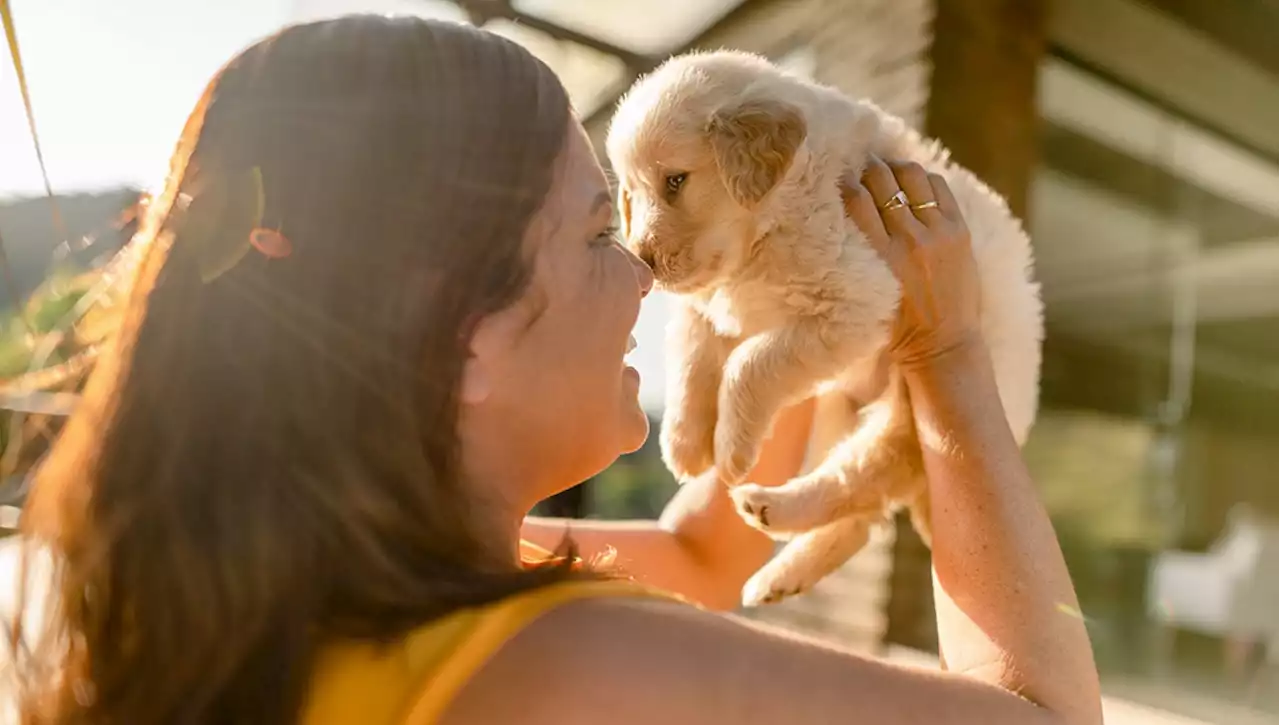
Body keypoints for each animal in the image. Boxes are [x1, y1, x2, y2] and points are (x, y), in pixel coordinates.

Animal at [606, 49, 1039, 607]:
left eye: (675, 181)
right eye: (630, 193)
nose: (643, 261)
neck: (763, 232)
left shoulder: (858, 300)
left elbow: (748, 364)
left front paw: (730, 450)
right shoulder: (707, 305)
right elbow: (692, 357)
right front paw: (684, 444)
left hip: (919, 411)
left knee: (869, 472)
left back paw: (772, 509)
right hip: (836, 407)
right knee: (864, 517)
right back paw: (779, 575)